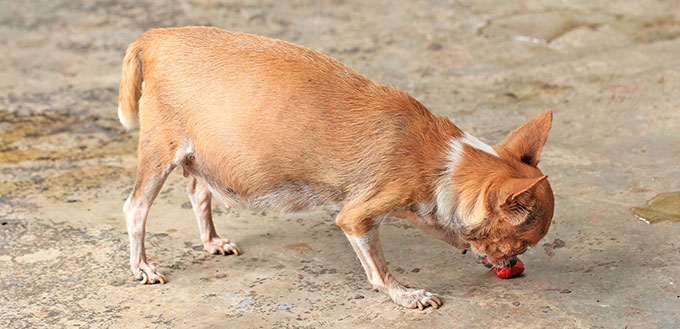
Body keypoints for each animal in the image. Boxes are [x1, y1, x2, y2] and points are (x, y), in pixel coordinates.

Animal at [117, 26, 552, 308]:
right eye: (521, 245)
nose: (512, 265)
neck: (444, 159)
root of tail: (154, 37)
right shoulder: (358, 218)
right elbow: (378, 268)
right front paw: (404, 294)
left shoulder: (414, 209)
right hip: (160, 152)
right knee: (135, 207)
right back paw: (141, 267)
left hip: (202, 154)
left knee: (197, 190)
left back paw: (211, 241)